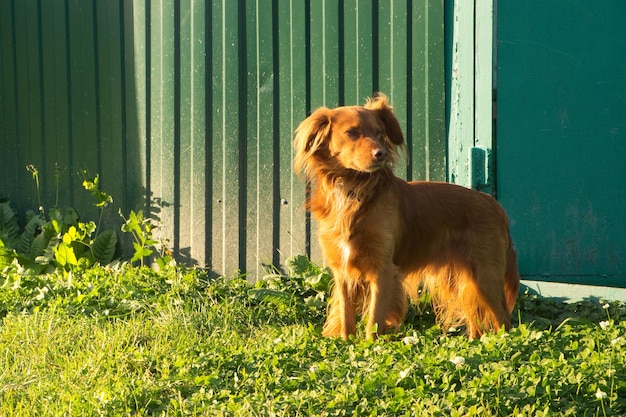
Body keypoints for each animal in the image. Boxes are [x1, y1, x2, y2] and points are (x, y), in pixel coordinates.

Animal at [294, 93, 520, 338]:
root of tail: (494, 204)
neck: (353, 190)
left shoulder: (383, 270)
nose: (381, 154)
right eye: (352, 132)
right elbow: (346, 317)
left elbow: (374, 318)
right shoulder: (342, 270)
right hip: (464, 281)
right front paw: (346, 341)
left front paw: (370, 343)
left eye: (379, 133)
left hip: (485, 276)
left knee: (504, 321)